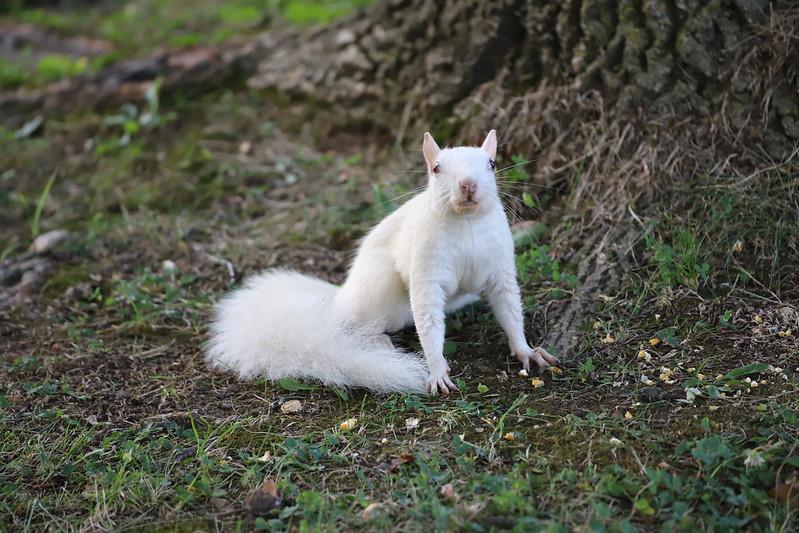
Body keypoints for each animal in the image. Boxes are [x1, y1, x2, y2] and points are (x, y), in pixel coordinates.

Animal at [206, 129, 559, 394]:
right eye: (436, 168)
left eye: (491, 163)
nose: (468, 184)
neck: (467, 223)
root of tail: (343, 298)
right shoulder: (426, 269)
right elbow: (428, 320)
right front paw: (436, 370)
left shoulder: (500, 267)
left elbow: (509, 309)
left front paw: (526, 351)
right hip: (382, 291)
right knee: (365, 326)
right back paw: (378, 343)